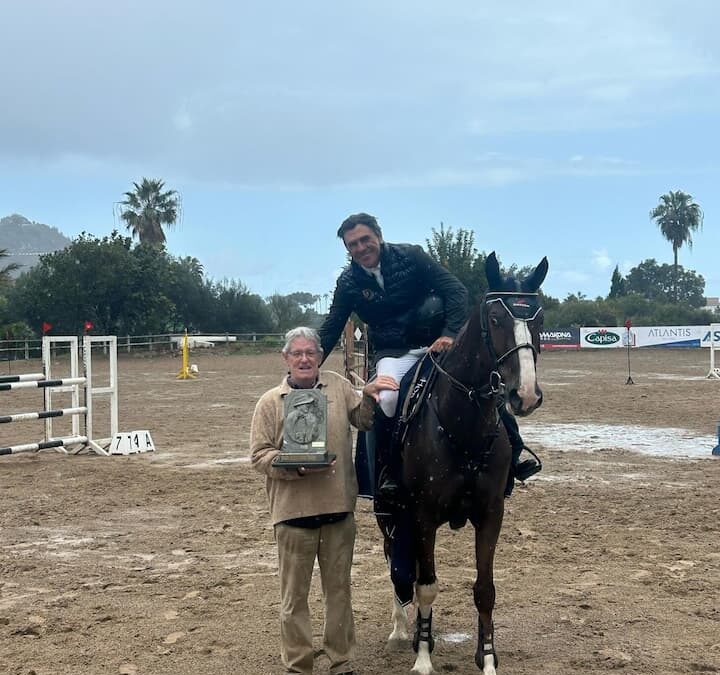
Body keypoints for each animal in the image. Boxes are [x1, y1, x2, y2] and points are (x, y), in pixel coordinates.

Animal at [380, 252, 548, 675]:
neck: (463, 425)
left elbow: (485, 590)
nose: (525, 394)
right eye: (496, 319)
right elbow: (426, 586)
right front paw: (423, 658)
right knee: (398, 567)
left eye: (539, 319)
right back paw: (401, 629)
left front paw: (487, 659)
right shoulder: (422, 514)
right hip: (390, 514)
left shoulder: (491, 513)